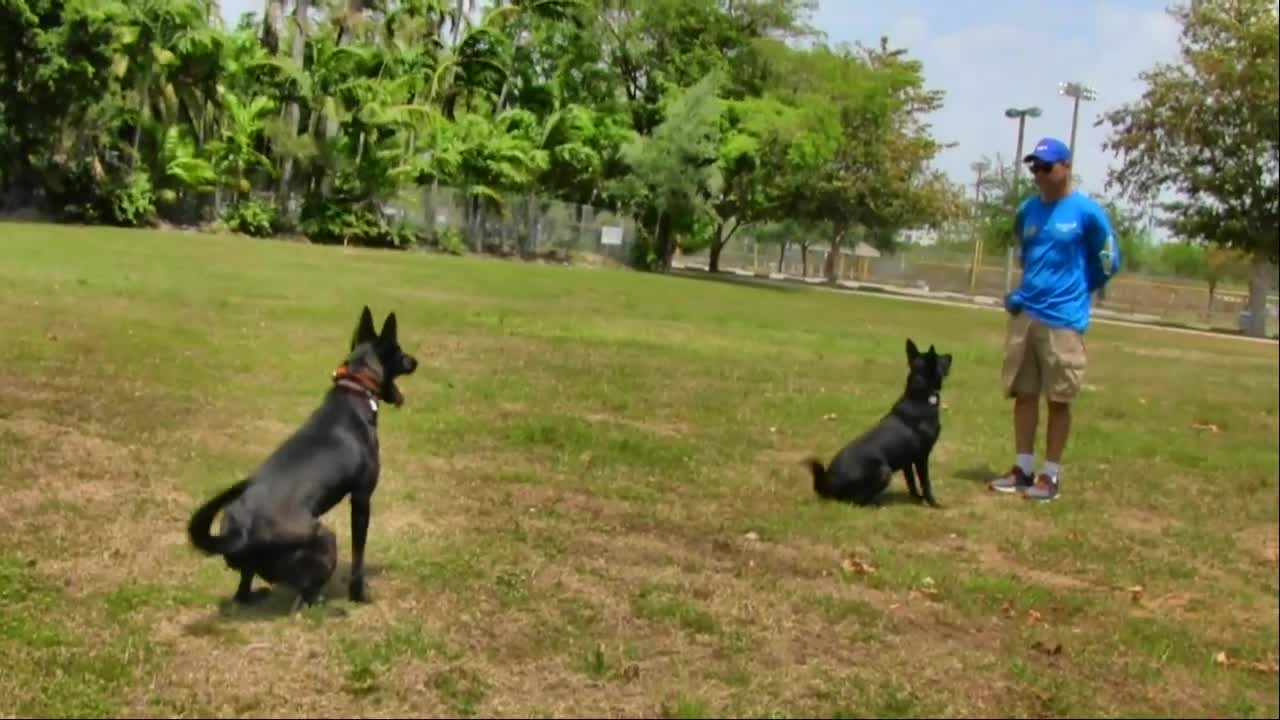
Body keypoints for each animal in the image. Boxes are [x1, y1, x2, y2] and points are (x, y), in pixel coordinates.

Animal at [186, 304, 417, 607]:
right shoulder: (362, 498)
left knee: (245, 587)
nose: (415, 361)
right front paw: (360, 593)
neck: (355, 391)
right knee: (304, 597)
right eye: (399, 350)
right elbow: (359, 554)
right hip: (325, 537)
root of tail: (240, 535)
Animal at [808, 335, 952, 504]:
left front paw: (916, 498)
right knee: (856, 501)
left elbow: (911, 481)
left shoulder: (907, 460)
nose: (951, 355)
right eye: (940, 359)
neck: (919, 395)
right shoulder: (921, 457)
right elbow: (925, 483)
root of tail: (828, 486)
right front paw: (933, 503)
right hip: (884, 470)